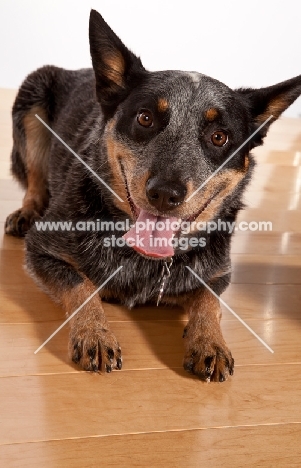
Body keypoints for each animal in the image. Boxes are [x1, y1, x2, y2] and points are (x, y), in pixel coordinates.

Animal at [4, 10, 300, 380]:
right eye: (145, 118)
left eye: (219, 137)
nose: (164, 193)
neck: (144, 262)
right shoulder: (42, 250)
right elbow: (81, 287)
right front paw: (94, 333)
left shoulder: (219, 274)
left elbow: (209, 302)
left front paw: (210, 342)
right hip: (32, 96)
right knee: (34, 178)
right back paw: (27, 211)